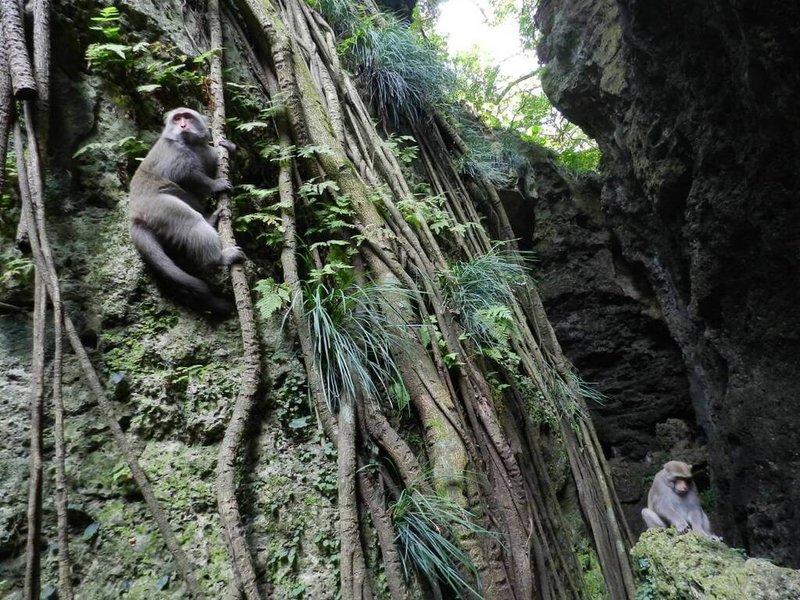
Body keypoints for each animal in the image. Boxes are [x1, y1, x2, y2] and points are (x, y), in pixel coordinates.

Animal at [125, 107, 242, 314]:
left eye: (187, 116)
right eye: (177, 118)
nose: (183, 125)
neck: (191, 145)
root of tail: (134, 215)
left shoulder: (207, 151)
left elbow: (214, 162)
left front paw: (230, 149)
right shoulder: (175, 152)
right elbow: (187, 175)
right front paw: (216, 185)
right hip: (159, 207)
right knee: (190, 221)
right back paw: (218, 258)